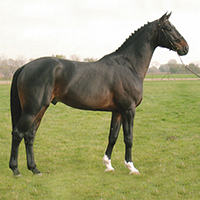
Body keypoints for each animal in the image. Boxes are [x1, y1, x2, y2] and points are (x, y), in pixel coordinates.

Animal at [9, 12, 188, 176]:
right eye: (168, 28)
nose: (185, 47)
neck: (128, 65)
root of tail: (25, 66)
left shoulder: (117, 111)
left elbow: (113, 137)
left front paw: (108, 165)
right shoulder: (129, 110)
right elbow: (128, 138)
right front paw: (131, 167)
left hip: (41, 109)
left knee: (30, 136)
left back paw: (34, 169)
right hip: (32, 109)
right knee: (18, 134)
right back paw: (16, 170)